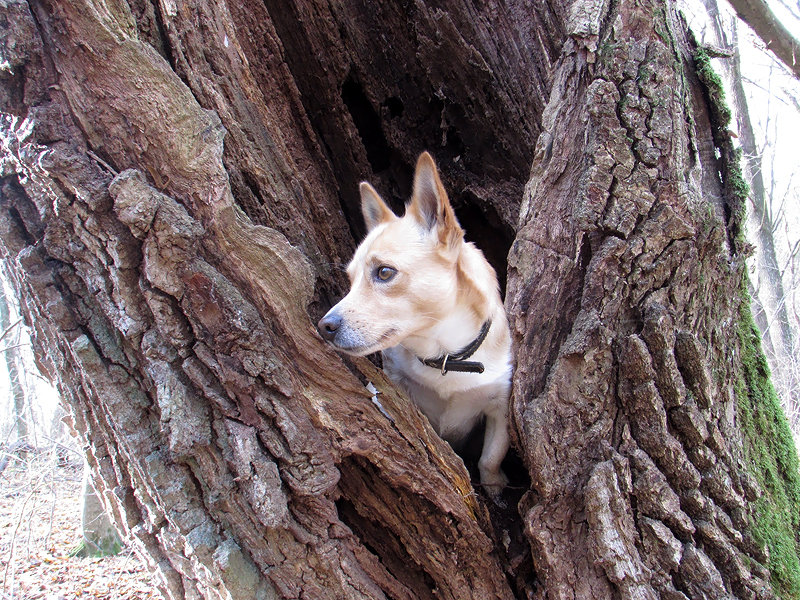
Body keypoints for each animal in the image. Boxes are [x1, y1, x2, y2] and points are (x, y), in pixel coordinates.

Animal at [318, 151, 512, 496]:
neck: (444, 355)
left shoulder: (499, 408)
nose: (324, 325)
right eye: (351, 281)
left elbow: (491, 455)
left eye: (384, 272)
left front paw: (494, 486)